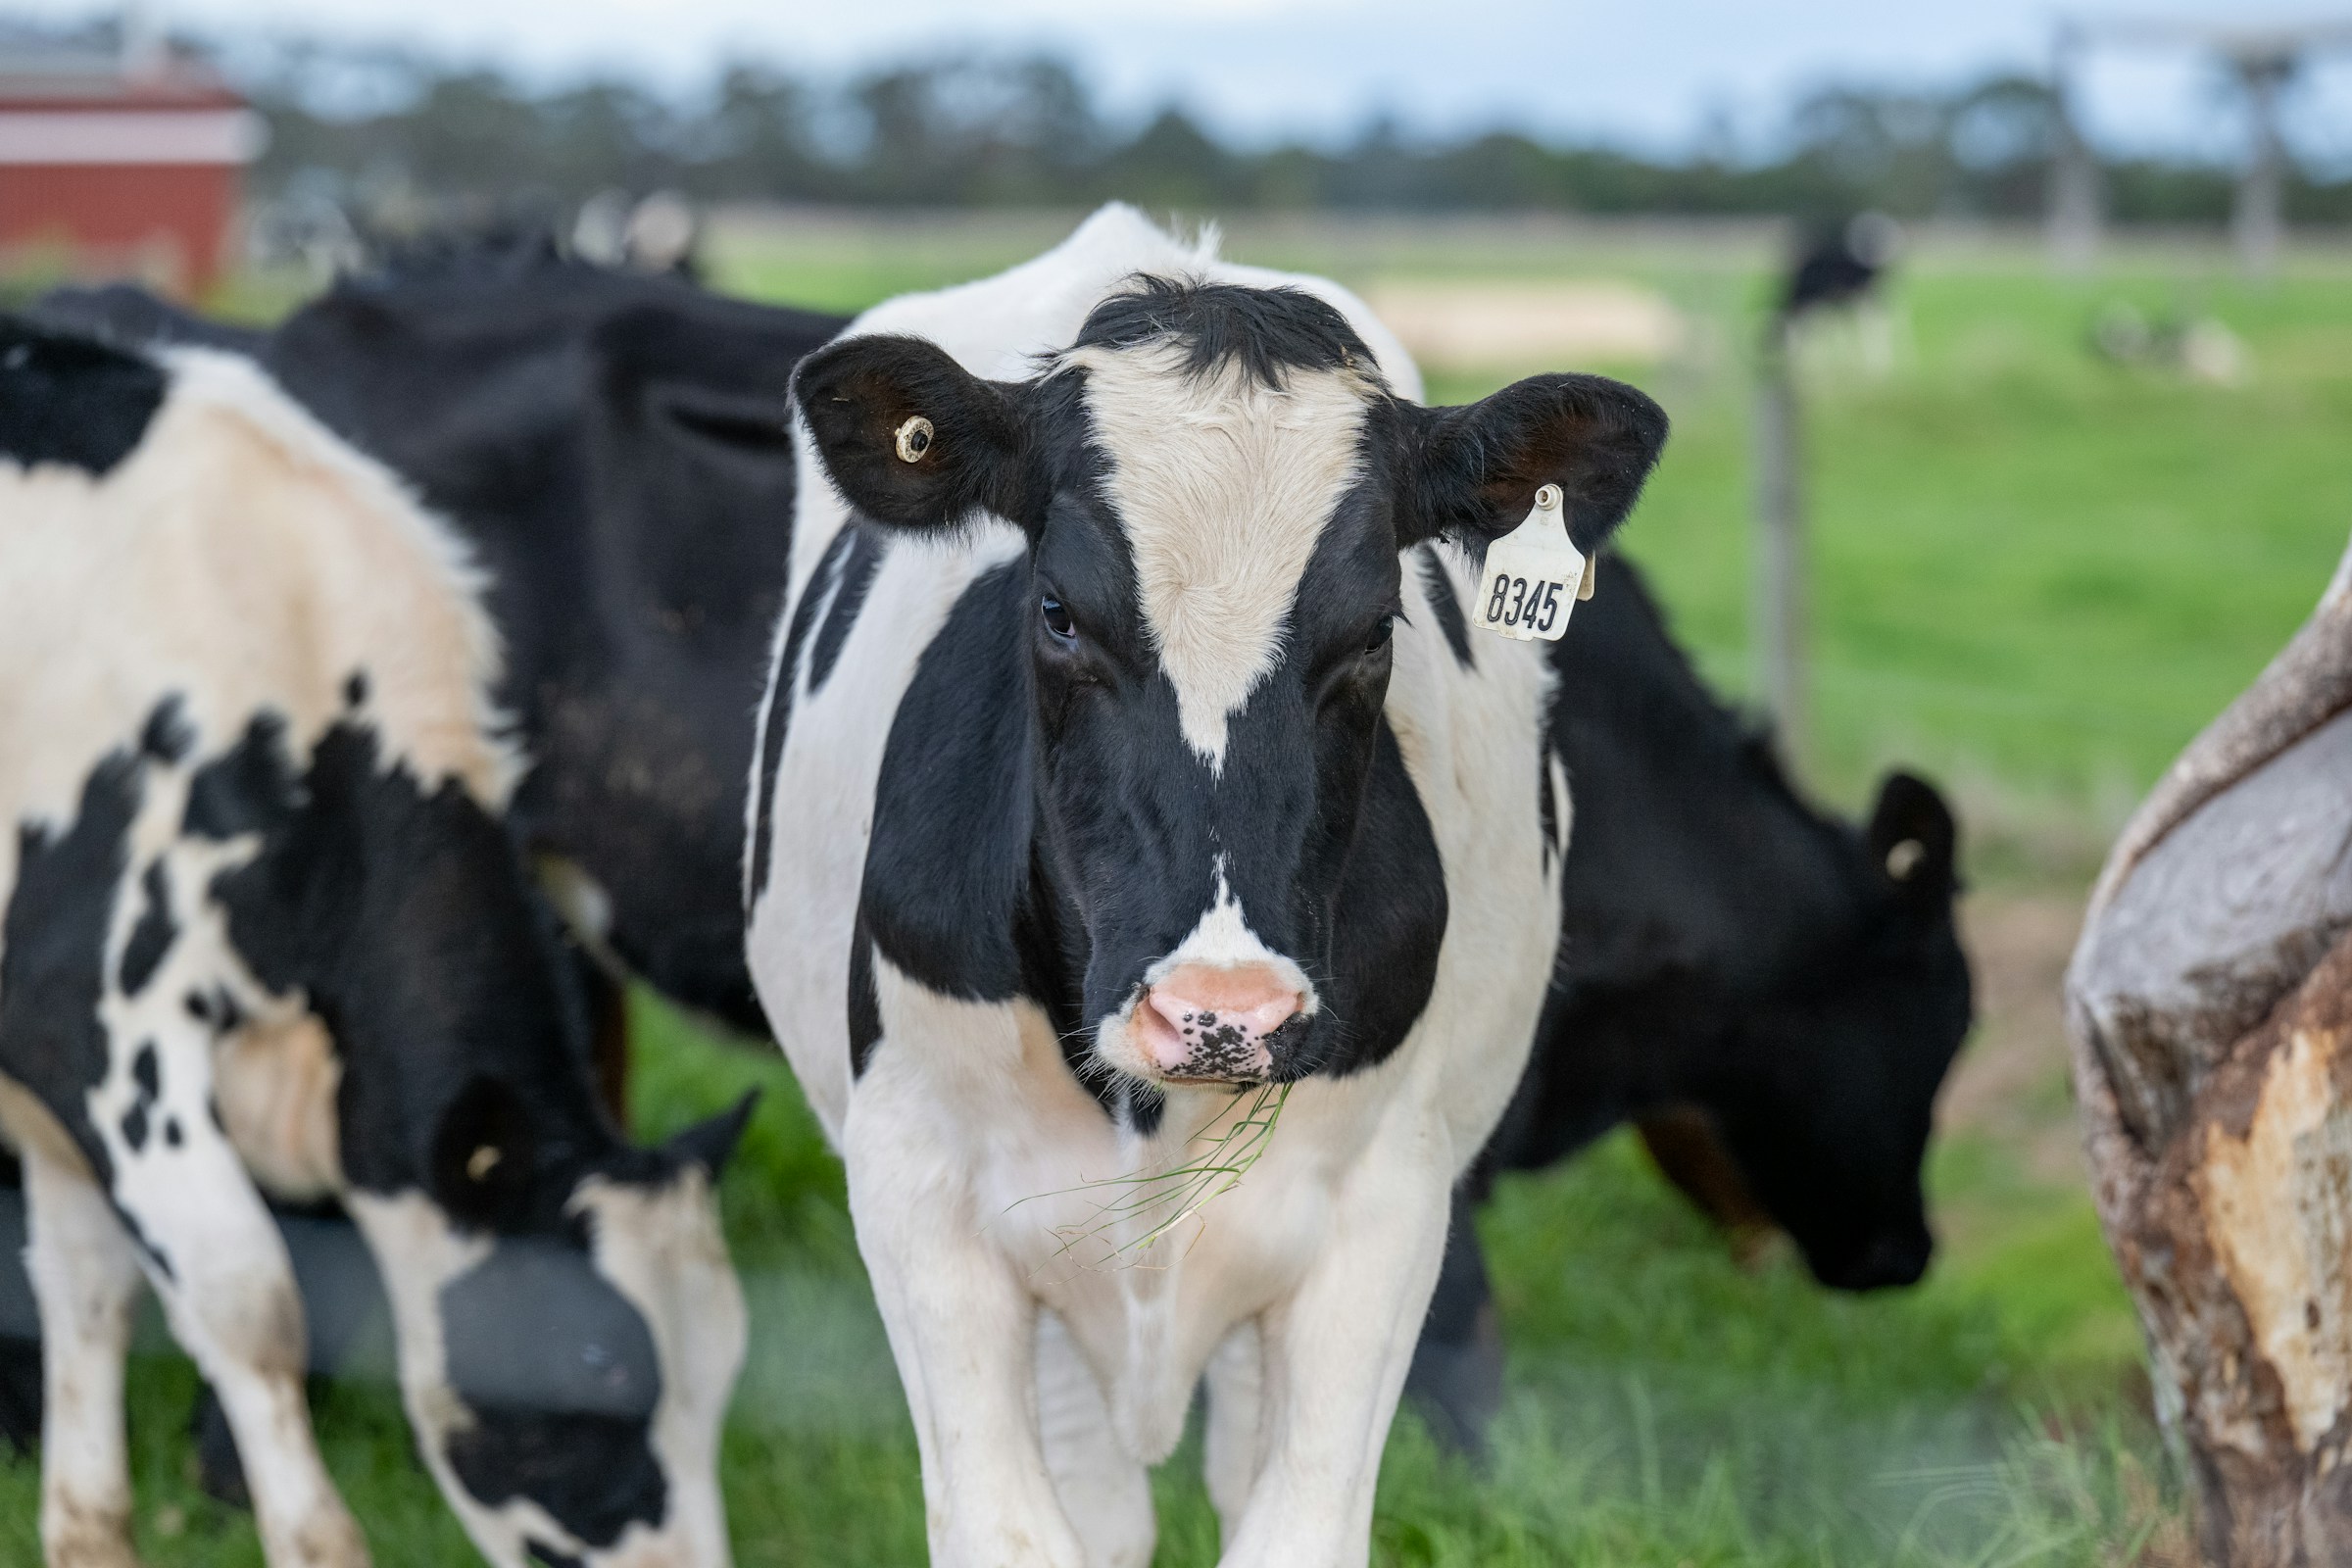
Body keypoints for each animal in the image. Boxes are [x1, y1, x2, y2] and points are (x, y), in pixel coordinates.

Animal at [741, 204, 1668, 1567]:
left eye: (1377, 628)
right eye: (1059, 610)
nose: (1221, 1012)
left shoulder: (1385, 1211)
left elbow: (1298, 1525)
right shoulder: (914, 1184)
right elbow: (1012, 1530)